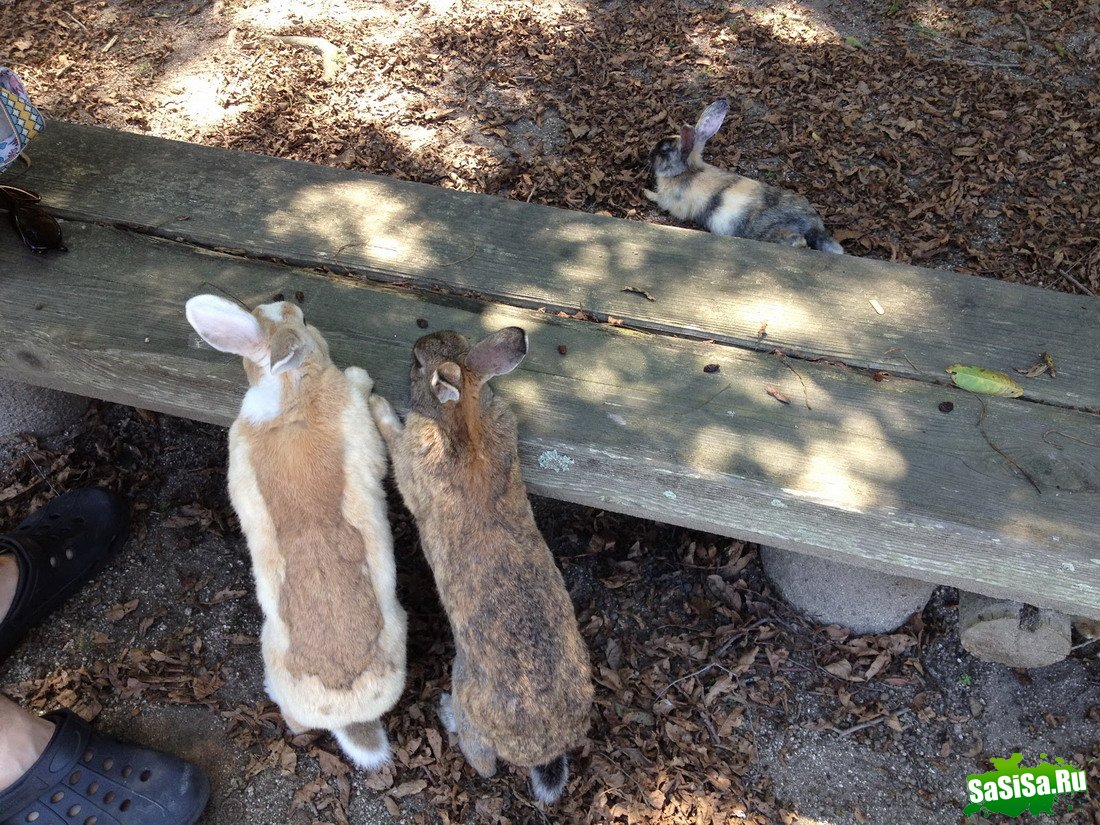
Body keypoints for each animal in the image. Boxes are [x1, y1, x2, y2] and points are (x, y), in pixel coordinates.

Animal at [367, 325, 594, 805]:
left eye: (419, 363)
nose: (415, 347)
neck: (464, 416)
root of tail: (541, 747)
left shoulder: (410, 462)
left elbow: (393, 437)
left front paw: (376, 403)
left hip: (466, 687)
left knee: (481, 760)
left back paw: (447, 714)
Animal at [642, 97, 844, 254]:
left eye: (664, 151)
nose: (649, 154)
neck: (686, 172)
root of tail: (813, 225)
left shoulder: (668, 201)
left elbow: (658, 199)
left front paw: (645, 191)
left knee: (798, 242)